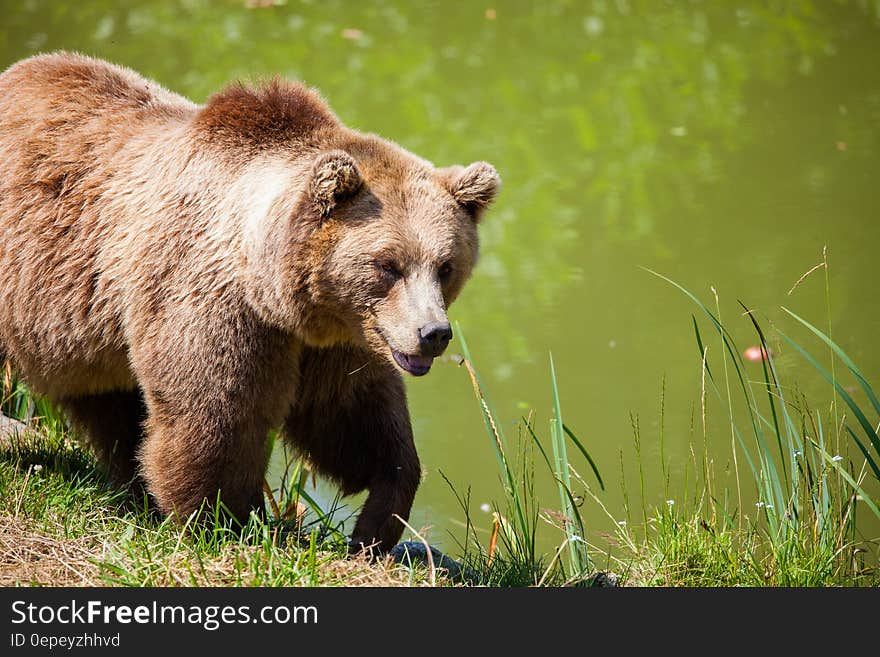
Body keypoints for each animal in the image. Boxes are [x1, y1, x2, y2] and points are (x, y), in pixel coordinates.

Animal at [0, 53, 498, 552]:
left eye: (445, 266)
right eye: (388, 265)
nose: (433, 333)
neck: (274, 290)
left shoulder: (336, 338)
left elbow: (352, 416)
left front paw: (378, 521)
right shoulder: (212, 301)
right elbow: (216, 414)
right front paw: (226, 521)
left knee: (107, 402)